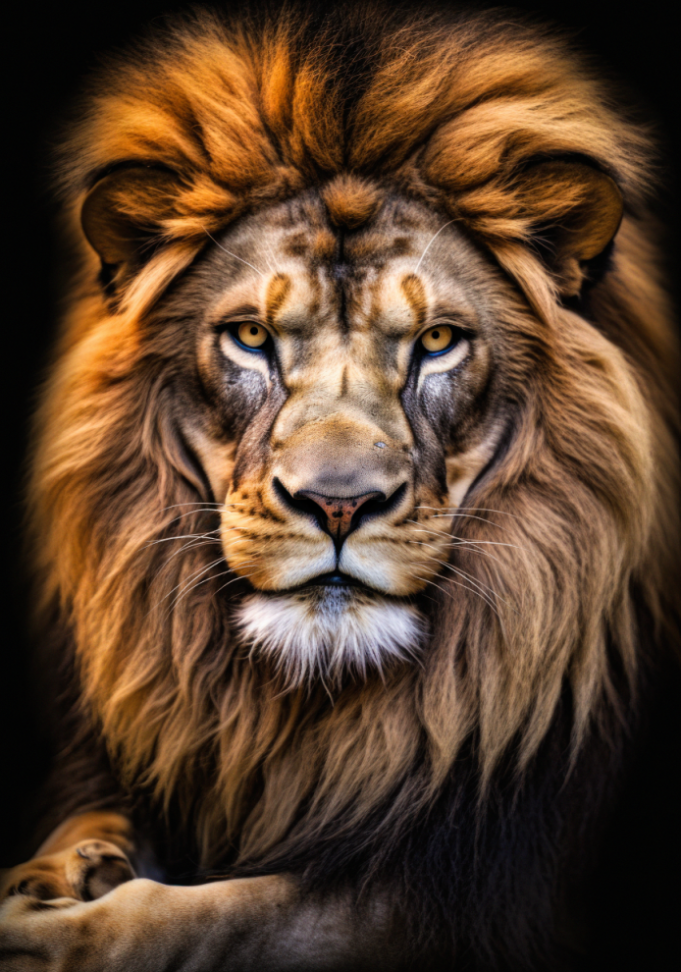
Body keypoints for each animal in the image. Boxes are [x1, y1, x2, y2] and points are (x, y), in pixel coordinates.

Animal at [0, 4, 678, 970]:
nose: (338, 505)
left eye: (437, 340)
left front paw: (51, 933)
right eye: (250, 336)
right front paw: (62, 870)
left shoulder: (473, 895)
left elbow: (212, 916)